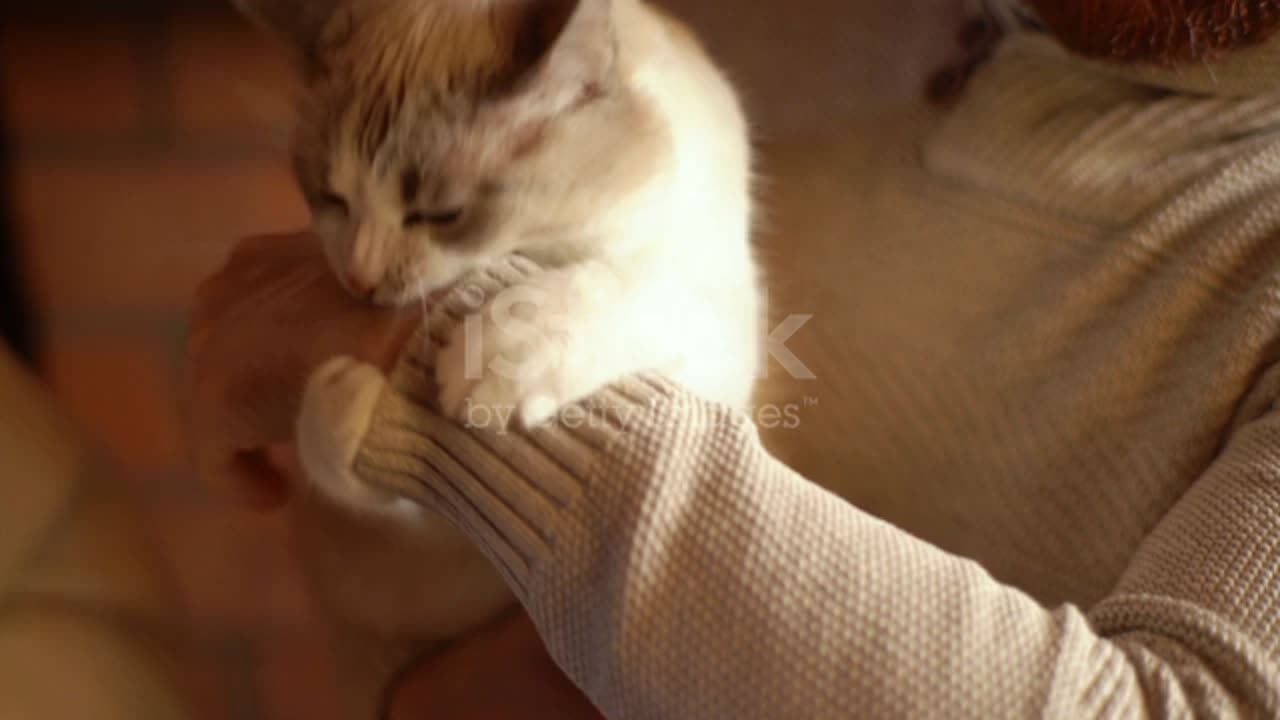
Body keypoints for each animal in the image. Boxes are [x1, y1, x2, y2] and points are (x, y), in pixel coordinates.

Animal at [234, 0, 757, 645]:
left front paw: (497, 352)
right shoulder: (444, 547)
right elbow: (355, 471)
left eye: (441, 213)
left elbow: (621, 286)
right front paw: (344, 401)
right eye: (331, 199)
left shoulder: (722, 339)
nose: (358, 278)